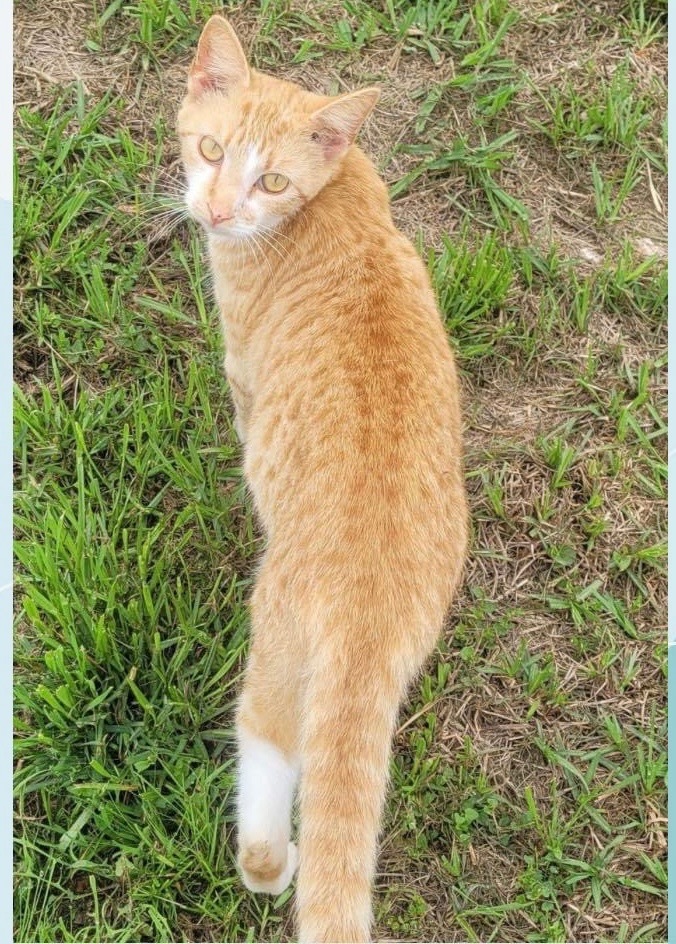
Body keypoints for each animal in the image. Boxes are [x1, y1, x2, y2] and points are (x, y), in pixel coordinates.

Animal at [177, 16, 468, 944]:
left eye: (270, 180)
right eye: (209, 148)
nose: (215, 210)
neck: (332, 200)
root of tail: (368, 606)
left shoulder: (242, 371)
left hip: (275, 640)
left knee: (267, 749)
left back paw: (270, 866)